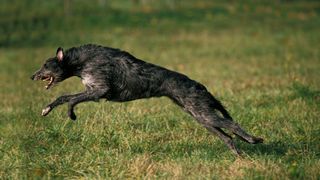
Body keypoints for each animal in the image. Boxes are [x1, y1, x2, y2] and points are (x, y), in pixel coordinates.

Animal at [31, 44, 264, 155]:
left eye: (45, 65)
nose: (31, 76)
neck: (80, 61)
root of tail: (200, 85)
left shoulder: (98, 90)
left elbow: (69, 98)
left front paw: (70, 114)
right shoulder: (93, 90)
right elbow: (64, 97)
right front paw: (47, 109)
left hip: (204, 113)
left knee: (233, 124)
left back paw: (253, 139)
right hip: (202, 117)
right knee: (228, 137)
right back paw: (240, 155)